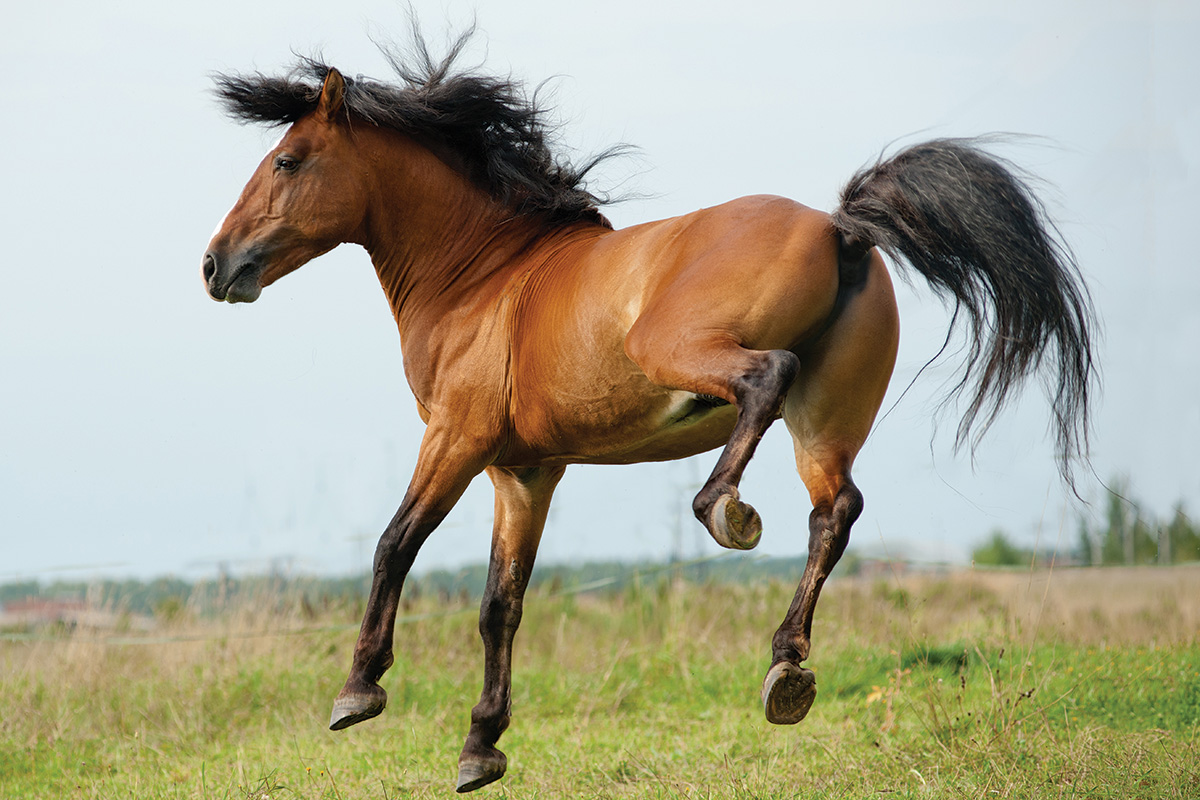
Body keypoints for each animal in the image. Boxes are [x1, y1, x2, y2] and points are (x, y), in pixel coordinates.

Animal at [199, 34, 1099, 791]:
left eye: (287, 160)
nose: (215, 265)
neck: (482, 278)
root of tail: (840, 227)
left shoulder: (457, 438)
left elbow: (395, 544)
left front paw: (359, 691)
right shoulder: (525, 473)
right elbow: (500, 604)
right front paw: (481, 746)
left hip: (683, 351)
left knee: (766, 382)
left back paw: (723, 509)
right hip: (826, 423)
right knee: (834, 510)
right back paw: (786, 670)